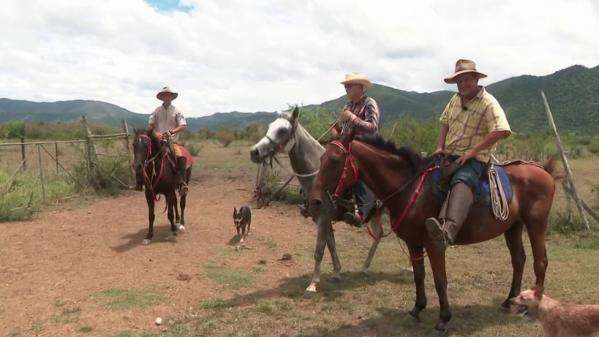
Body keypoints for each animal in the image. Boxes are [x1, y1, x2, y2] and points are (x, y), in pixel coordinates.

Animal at [250, 106, 386, 296]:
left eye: (283, 130)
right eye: (270, 126)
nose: (254, 152)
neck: (317, 174)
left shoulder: (323, 216)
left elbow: (319, 250)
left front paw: (313, 284)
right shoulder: (320, 218)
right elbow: (331, 245)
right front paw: (336, 273)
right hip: (377, 213)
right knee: (379, 234)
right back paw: (365, 267)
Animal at [310, 134, 556, 334]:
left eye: (334, 160)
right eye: (321, 159)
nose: (315, 201)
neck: (411, 189)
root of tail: (543, 170)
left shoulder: (434, 244)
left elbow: (440, 280)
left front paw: (443, 319)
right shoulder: (413, 243)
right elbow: (419, 275)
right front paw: (417, 309)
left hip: (536, 224)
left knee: (540, 261)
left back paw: (533, 307)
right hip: (512, 227)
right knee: (519, 260)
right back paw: (509, 301)